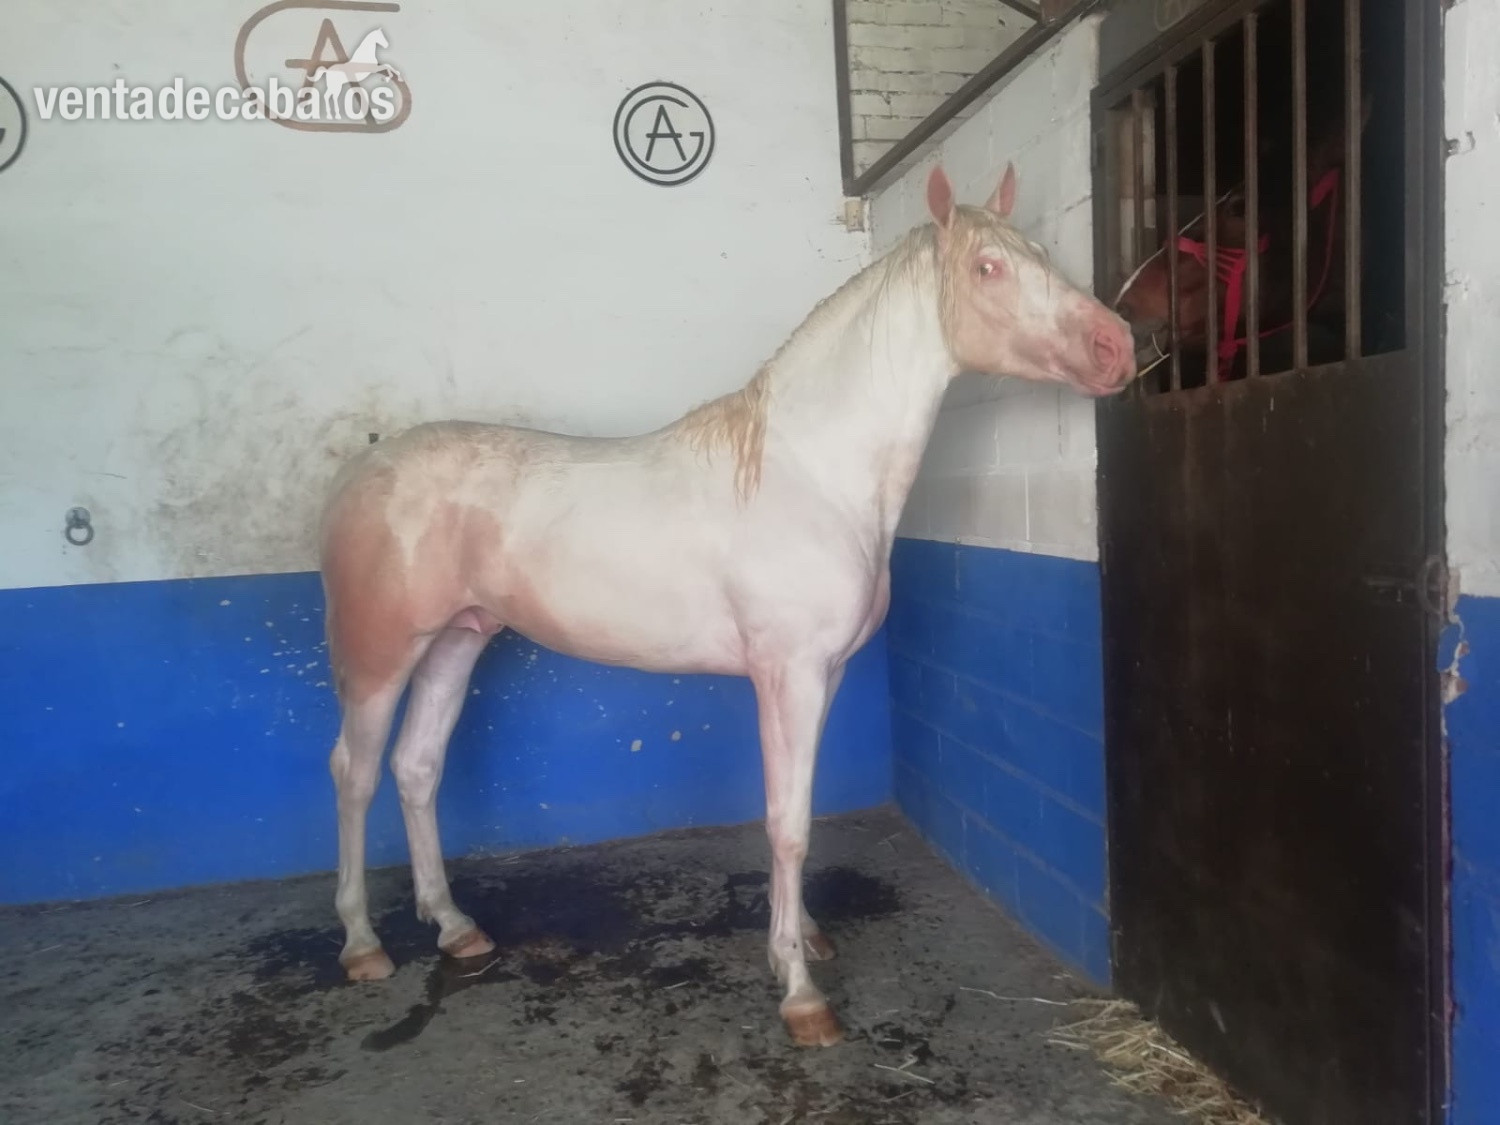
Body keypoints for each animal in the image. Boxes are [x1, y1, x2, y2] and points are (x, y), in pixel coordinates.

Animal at [315, 162, 1137, 1047]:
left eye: (1041, 253)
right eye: (989, 268)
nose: (1117, 347)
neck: (812, 472)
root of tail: (359, 476)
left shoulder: (824, 675)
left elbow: (799, 812)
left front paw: (800, 936)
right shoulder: (790, 674)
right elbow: (788, 822)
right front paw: (802, 995)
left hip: (456, 641)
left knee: (417, 767)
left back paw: (456, 927)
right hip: (382, 654)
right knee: (355, 771)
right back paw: (361, 944)